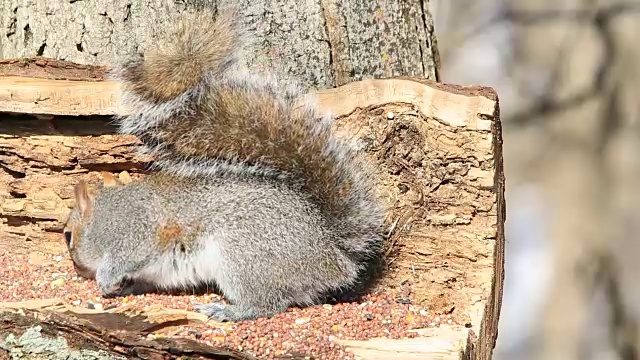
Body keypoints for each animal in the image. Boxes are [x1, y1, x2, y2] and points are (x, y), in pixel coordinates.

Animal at [63, 7, 384, 324]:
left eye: (67, 235)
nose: (76, 268)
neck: (104, 216)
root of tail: (333, 258)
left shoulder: (135, 231)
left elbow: (124, 257)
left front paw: (105, 280)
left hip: (243, 257)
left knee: (266, 303)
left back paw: (227, 310)